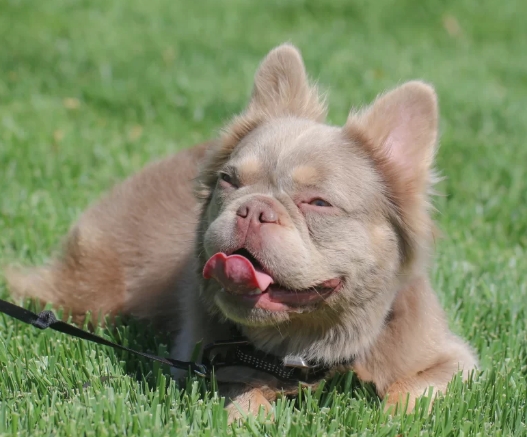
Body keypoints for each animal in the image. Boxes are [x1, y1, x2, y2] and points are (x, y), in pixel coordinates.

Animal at [7, 43, 478, 418]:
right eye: (230, 181)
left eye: (317, 203)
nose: (253, 209)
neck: (303, 347)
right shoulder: (208, 367)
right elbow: (245, 398)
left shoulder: (453, 362)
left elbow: (411, 391)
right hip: (88, 294)